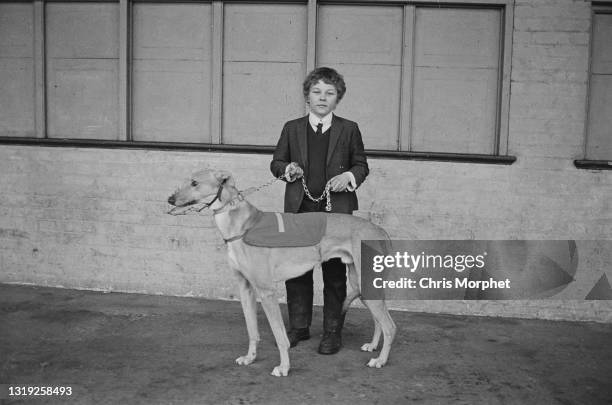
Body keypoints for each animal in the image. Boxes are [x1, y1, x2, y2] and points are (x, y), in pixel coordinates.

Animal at [167, 169, 396, 378]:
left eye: (194, 182)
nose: (170, 199)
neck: (242, 227)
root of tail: (380, 231)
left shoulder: (267, 292)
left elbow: (280, 337)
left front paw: (284, 367)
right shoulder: (245, 289)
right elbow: (252, 331)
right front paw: (250, 358)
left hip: (365, 284)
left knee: (390, 326)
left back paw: (381, 360)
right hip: (363, 285)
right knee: (379, 320)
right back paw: (373, 346)